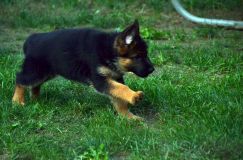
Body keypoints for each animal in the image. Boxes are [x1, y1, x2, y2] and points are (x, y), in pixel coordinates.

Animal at [11, 19, 154, 120]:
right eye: (137, 57)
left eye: (146, 54)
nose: (152, 69)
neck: (108, 51)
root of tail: (32, 39)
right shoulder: (100, 80)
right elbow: (121, 88)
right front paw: (134, 96)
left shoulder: (115, 77)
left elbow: (118, 97)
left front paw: (127, 116)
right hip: (36, 72)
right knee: (20, 79)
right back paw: (17, 101)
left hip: (46, 73)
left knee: (35, 85)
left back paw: (35, 99)